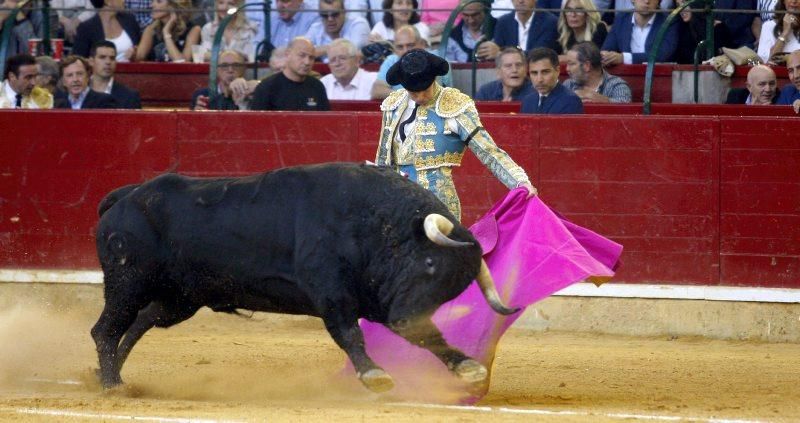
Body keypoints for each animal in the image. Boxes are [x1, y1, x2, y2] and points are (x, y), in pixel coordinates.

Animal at [92, 162, 520, 394]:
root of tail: (128, 196)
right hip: (127, 282)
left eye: (454, 290)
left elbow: (428, 335)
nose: (404, 318)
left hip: (179, 298)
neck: (373, 223)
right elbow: (349, 333)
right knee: (106, 329)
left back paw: (113, 377)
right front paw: (375, 375)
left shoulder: (384, 301)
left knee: (140, 323)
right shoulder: (331, 292)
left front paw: (467, 367)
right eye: (430, 264)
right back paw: (111, 384)